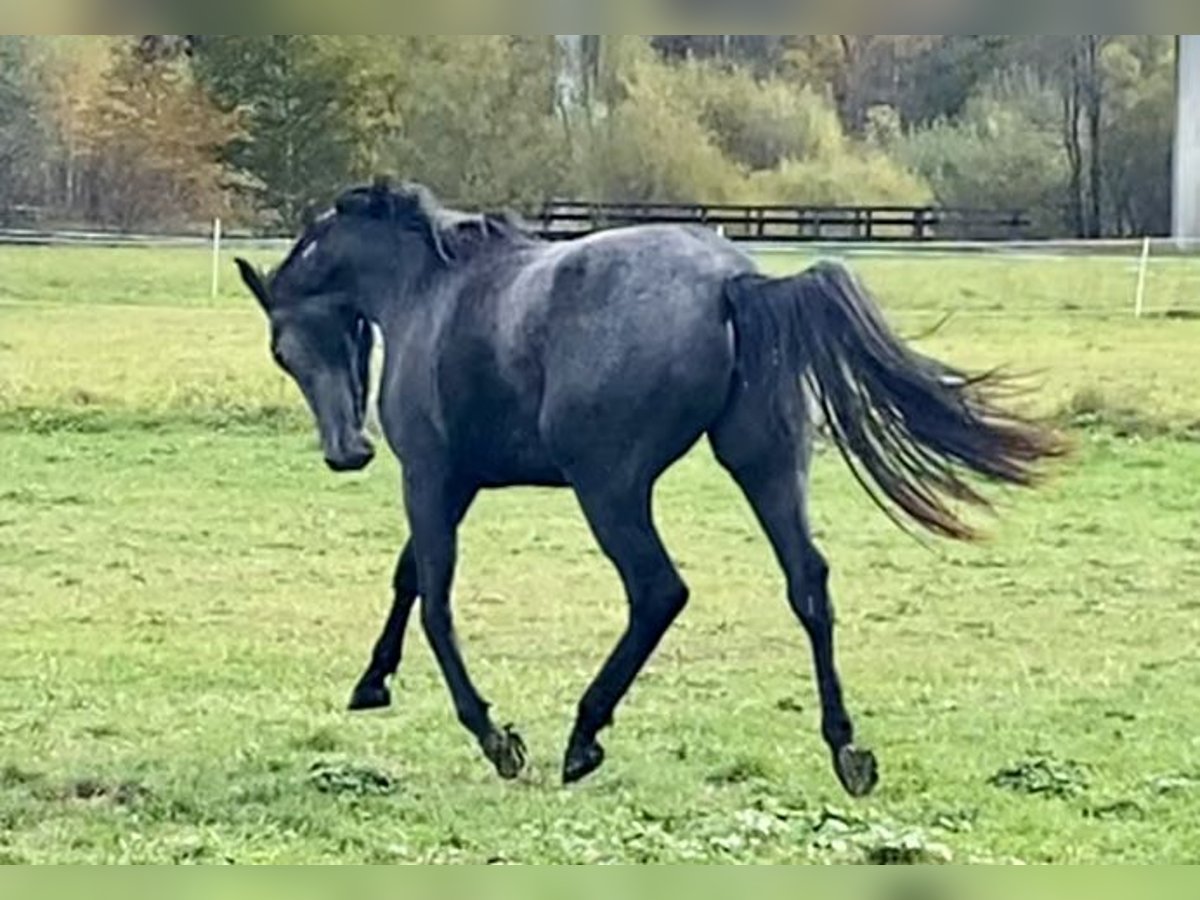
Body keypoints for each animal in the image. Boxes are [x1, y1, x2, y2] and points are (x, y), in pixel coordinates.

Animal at [234, 180, 1060, 801]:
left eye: (282, 348)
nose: (347, 452)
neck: (430, 290)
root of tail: (733, 282)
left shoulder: (432, 477)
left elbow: (435, 601)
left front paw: (496, 737)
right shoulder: (454, 485)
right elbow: (408, 577)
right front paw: (372, 682)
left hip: (610, 487)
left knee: (659, 590)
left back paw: (583, 735)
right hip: (765, 464)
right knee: (809, 584)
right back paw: (846, 749)